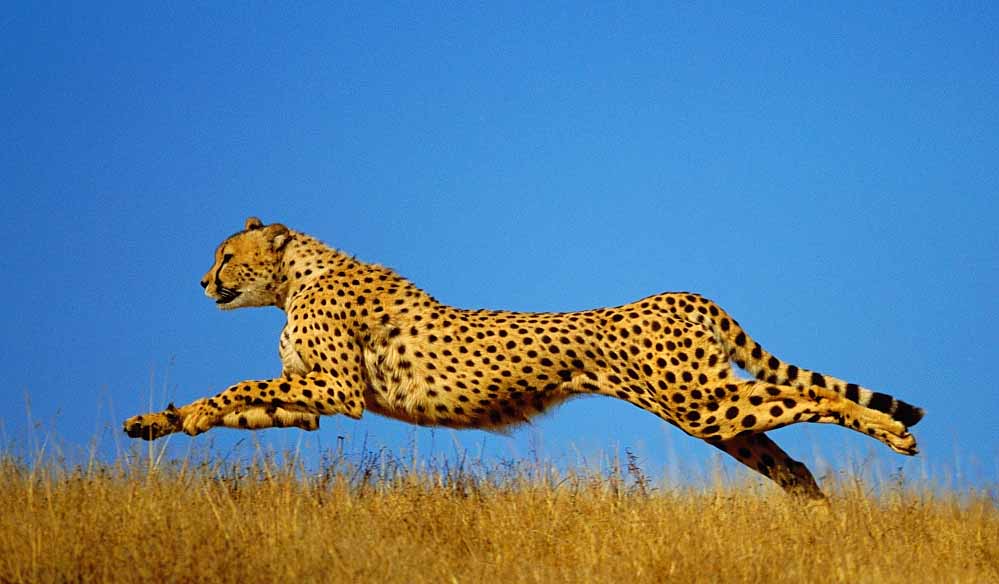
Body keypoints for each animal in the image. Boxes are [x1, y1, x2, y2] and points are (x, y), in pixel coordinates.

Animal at [124, 217, 924, 500]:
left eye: (227, 255)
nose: (203, 282)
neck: (297, 278)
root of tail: (681, 293)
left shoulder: (337, 389)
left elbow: (239, 385)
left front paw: (182, 415)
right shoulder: (314, 399)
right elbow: (244, 406)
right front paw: (161, 422)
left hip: (700, 403)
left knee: (819, 399)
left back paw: (892, 435)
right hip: (711, 416)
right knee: (791, 462)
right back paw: (820, 518)